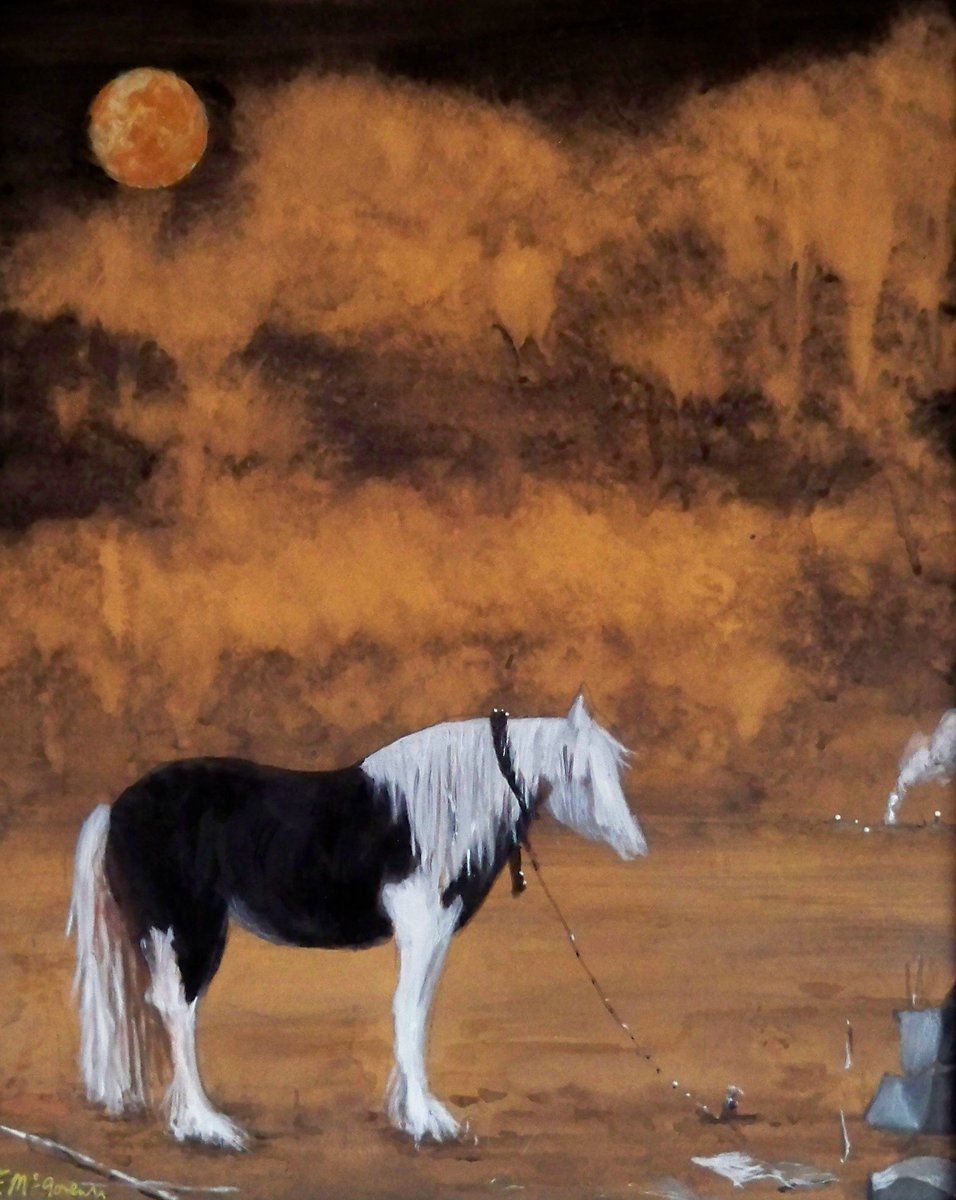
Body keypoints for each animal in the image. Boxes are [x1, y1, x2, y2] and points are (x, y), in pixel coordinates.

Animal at [67, 693, 648, 1149]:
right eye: (582, 775)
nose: (636, 847)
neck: (436, 812)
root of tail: (115, 809)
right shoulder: (419, 929)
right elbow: (406, 1014)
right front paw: (425, 1121)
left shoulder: (436, 935)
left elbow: (418, 1014)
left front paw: (416, 1112)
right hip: (189, 931)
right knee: (177, 1010)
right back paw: (206, 1127)